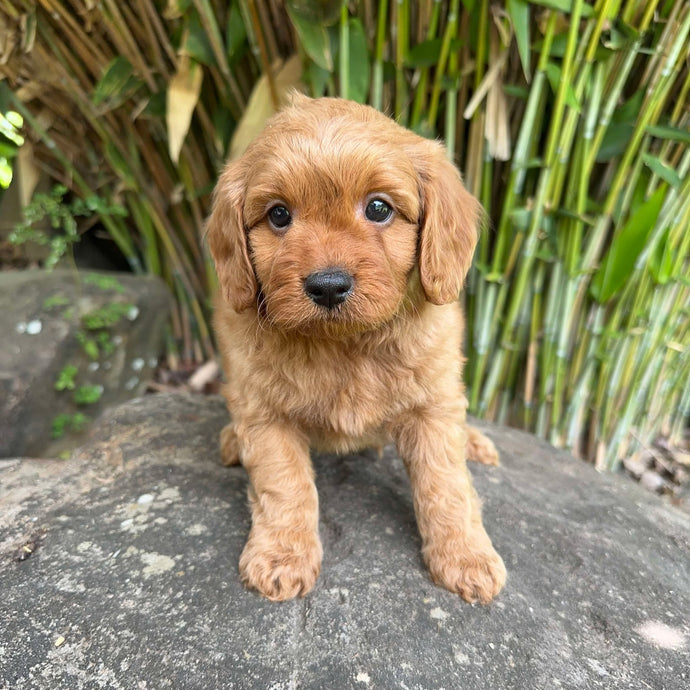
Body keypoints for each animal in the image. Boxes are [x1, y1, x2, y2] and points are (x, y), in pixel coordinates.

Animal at [207, 92, 502, 600]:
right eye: (279, 215)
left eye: (379, 208)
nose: (327, 286)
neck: (345, 344)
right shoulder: (263, 412)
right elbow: (284, 483)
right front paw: (282, 555)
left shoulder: (433, 405)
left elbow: (446, 483)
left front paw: (466, 557)